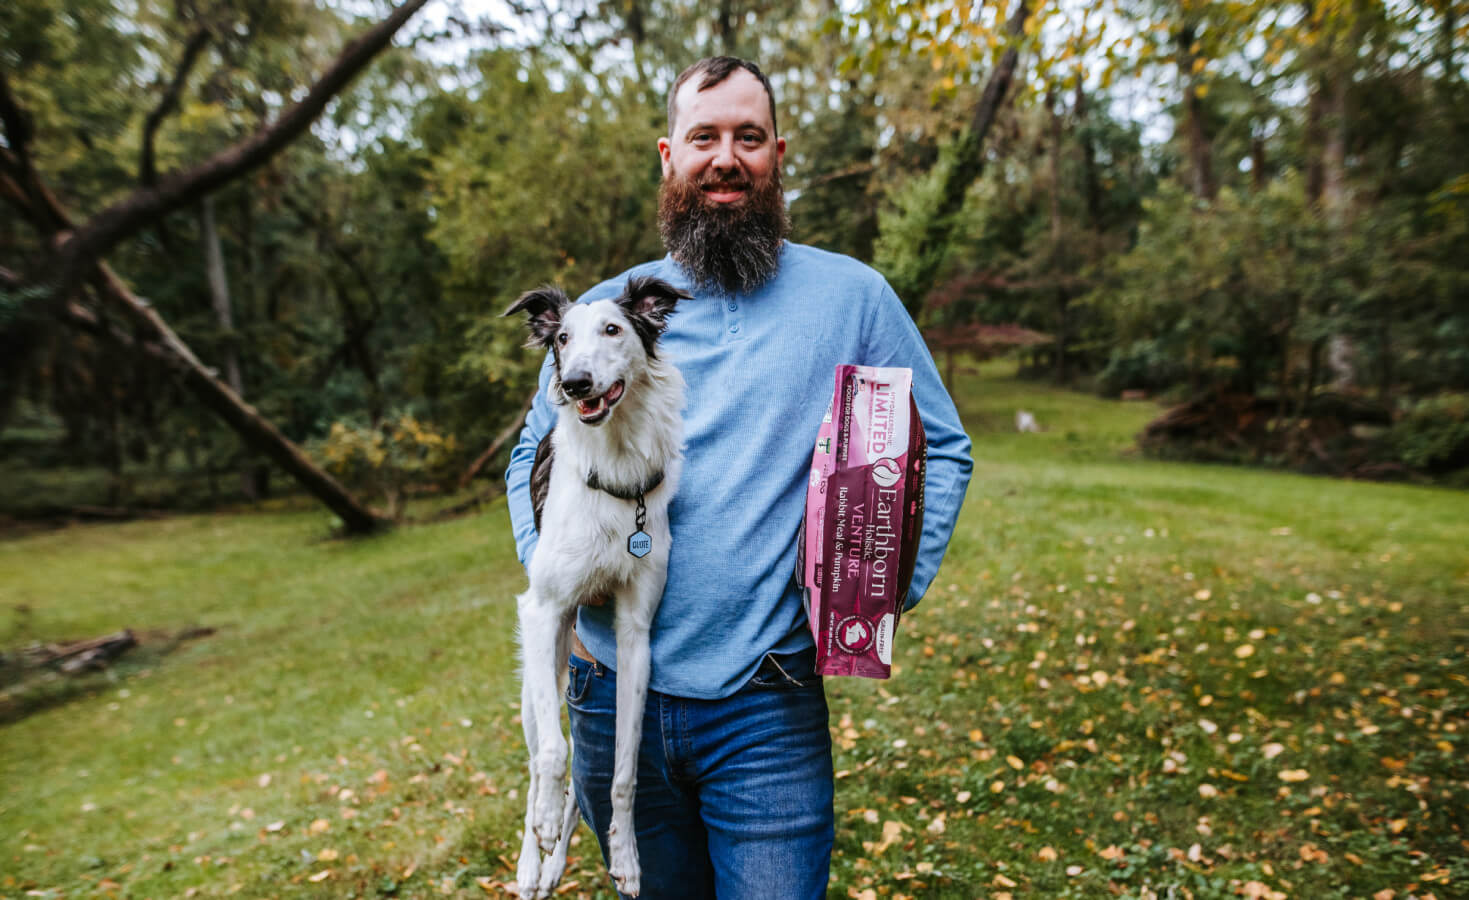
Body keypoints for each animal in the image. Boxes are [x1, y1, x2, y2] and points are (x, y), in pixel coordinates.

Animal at [505, 277, 687, 892]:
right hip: (542, 671)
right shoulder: (542, 611)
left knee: (578, 793)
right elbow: (554, 754)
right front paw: (539, 831)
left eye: (613, 329)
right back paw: (532, 861)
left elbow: (623, 773)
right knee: (538, 759)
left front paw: (627, 857)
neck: (614, 469)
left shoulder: (635, 636)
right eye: (562, 338)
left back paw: (555, 861)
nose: (574, 382)